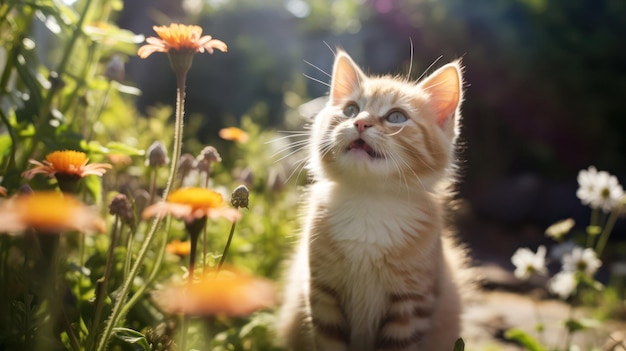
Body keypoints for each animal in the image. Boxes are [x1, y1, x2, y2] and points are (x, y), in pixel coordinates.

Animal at [276, 49, 464, 351]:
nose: (360, 122)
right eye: (351, 110)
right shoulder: (322, 295)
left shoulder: (410, 308)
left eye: (397, 117)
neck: (370, 199)